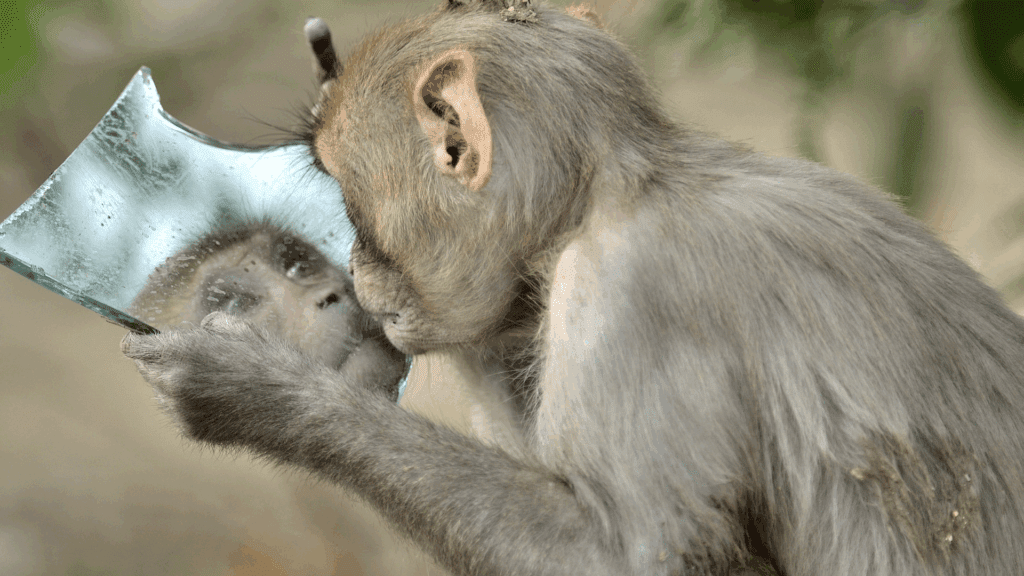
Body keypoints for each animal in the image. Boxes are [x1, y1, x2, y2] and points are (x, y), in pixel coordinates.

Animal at [120, 2, 1024, 575]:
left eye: (348, 202)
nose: (357, 274)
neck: (622, 189)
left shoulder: (624, 293)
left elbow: (626, 558)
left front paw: (262, 394)